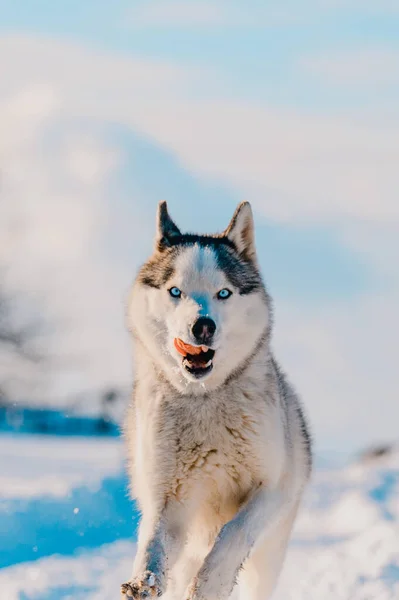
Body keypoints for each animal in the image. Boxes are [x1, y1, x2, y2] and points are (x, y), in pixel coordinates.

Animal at [122, 203, 312, 600]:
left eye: (223, 293)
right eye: (175, 291)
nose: (203, 326)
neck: (204, 398)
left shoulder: (273, 489)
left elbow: (232, 534)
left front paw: (211, 582)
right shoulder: (166, 498)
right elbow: (151, 545)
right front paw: (143, 582)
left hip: (267, 557)